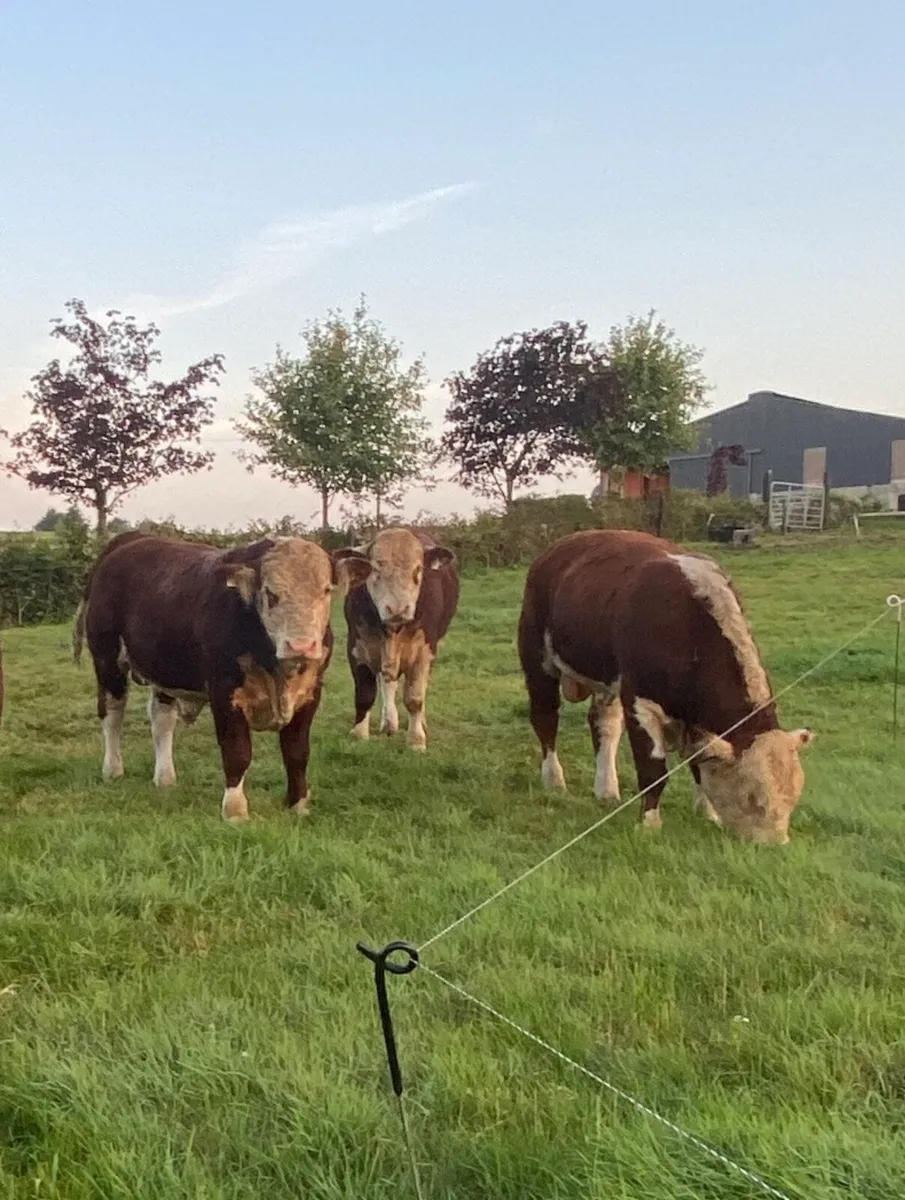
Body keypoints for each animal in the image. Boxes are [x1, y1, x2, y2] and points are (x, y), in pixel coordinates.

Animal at [73, 531, 371, 821]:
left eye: (326, 590)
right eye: (270, 593)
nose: (301, 646)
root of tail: (127, 541)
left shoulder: (310, 694)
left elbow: (296, 752)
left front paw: (297, 804)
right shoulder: (224, 693)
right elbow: (237, 752)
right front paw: (235, 810)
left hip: (164, 671)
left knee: (161, 720)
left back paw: (165, 778)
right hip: (107, 660)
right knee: (112, 714)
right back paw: (113, 770)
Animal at [342, 527, 458, 750]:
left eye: (418, 569)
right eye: (375, 570)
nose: (398, 609)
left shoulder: (425, 651)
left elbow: (414, 698)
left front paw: (416, 740)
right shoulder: (357, 648)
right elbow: (364, 695)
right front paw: (359, 734)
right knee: (387, 682)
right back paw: (389, 722)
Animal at [517, 529, 814, 844]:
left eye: (794, 797)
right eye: (751, 797)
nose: (775, 845)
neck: (689, 630)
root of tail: (561, 545)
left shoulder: (695, 721)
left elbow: (698, 761)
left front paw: (707, 813)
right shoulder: (640, 702)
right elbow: (653, 771)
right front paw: (649, 824)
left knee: (604, 725)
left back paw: (606, 789)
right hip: (537, 660)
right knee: (546, 719)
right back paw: (554, 780)